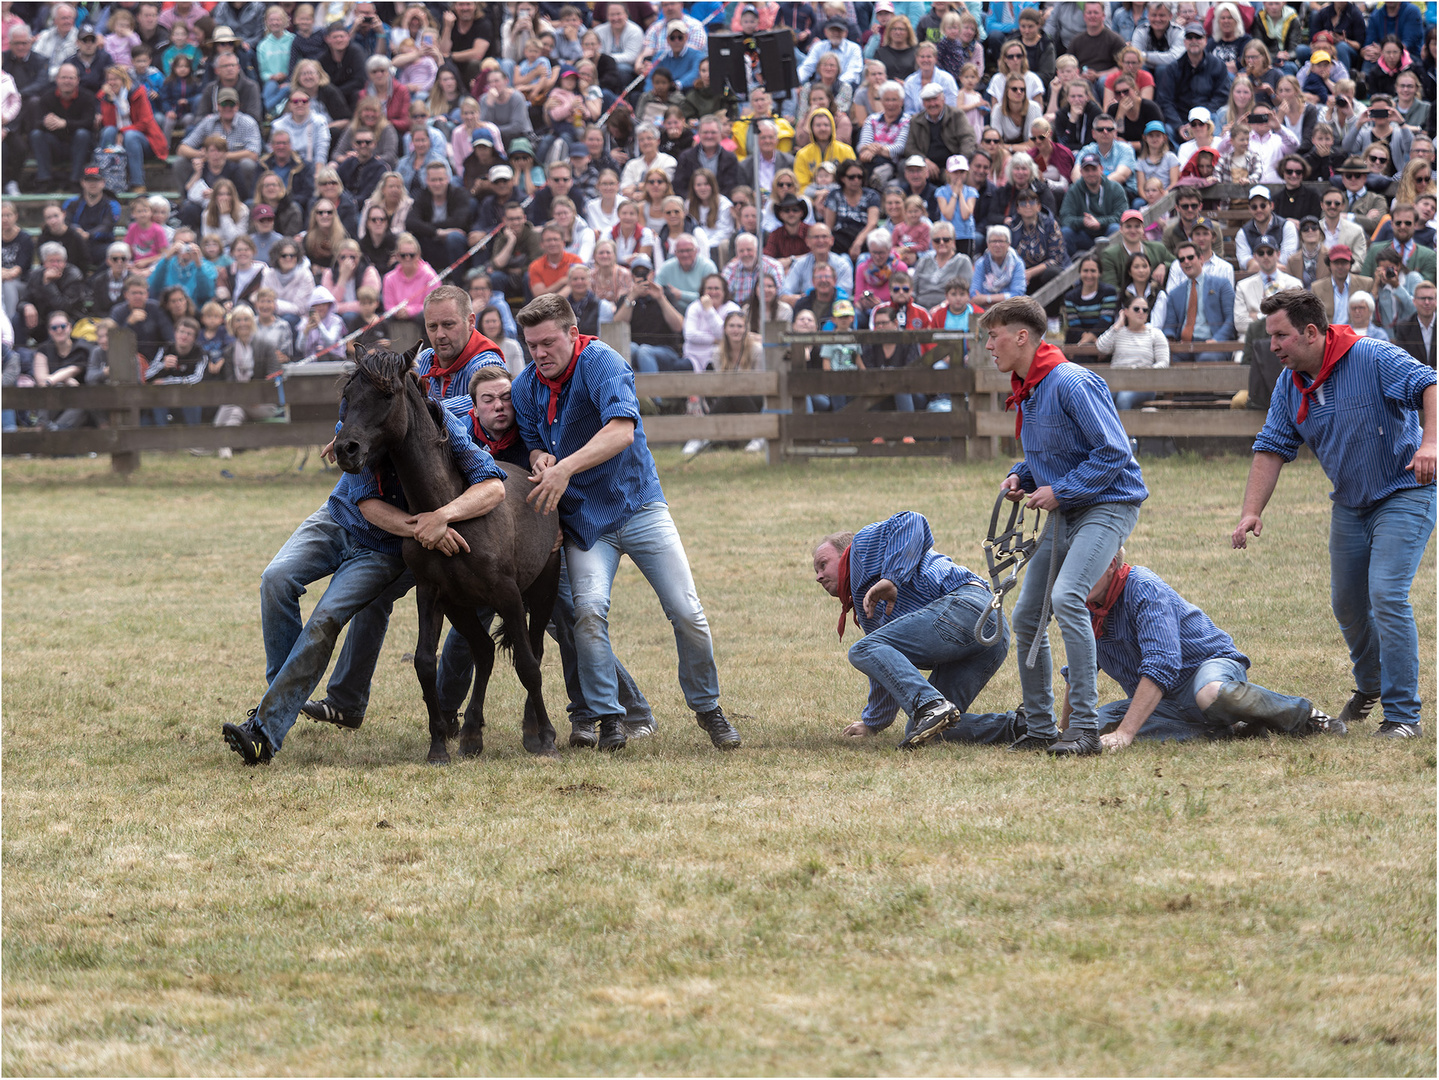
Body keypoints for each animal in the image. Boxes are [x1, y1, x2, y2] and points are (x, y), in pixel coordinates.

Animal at [332, 343, 561, 759]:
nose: (346, 449)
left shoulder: (508, 595)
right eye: (348, 395)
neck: (448, 509)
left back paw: (532, 731)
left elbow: (527, 665)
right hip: (462, 606)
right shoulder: (432, 593)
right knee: (484, 651)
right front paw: (438, 744)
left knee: (531, 650)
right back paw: (470, 734)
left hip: (543, 589)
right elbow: (425, 662)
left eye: (386, 395)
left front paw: (548, 737)